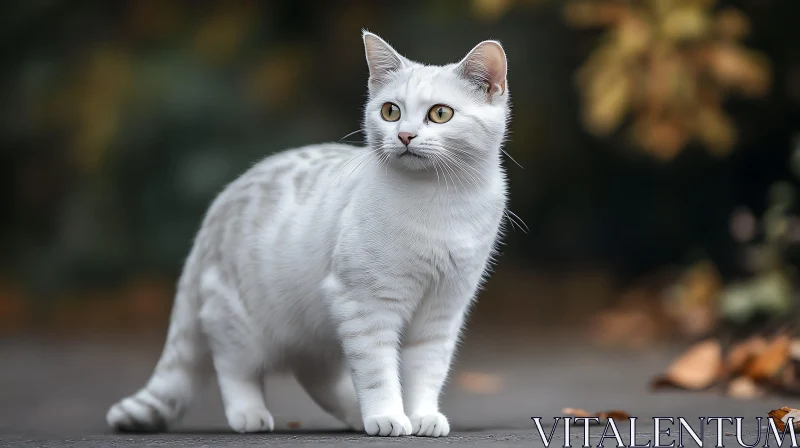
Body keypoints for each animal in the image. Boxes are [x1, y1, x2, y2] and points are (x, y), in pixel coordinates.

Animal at [106, 31, 510, 438]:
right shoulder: (364, 305)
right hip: (237, 321)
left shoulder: (442, 312)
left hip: (319, 330)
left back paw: (355, 416)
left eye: (440, 113)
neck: (441, 201)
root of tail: (215, 212)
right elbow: (378, 373)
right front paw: (388, 417)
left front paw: (421, 415)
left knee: (317, 377)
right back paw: (251, 414)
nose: (405, 135)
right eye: (390, 112)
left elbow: (426, 372)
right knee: (235, 369)